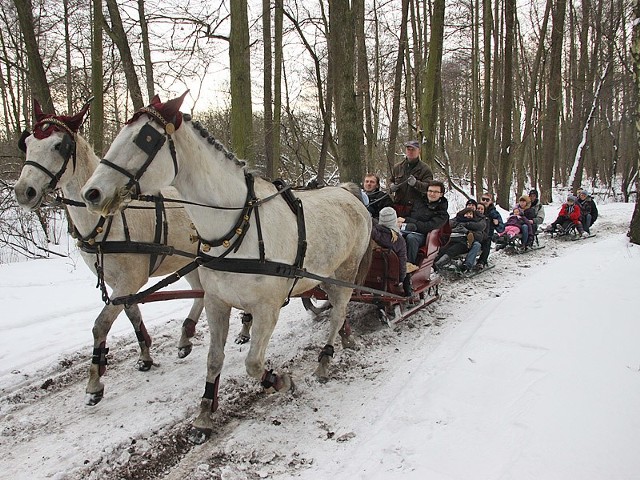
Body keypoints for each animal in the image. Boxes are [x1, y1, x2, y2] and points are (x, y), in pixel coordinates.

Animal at [13, 100, 205, 404]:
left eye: (59, 145)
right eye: (28, 143)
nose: (24, 192)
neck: (107, 221)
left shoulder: (131, 279)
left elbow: (100, 324)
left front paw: (94, 381)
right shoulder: (121, 283)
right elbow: (132, 313)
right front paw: (145, 356)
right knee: (201, 293)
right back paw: (186, 335)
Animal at [79, 92, 372, 440]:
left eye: (146, 138)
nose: (91, 193)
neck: (239, 227)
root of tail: (349, 192)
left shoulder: (267, 309)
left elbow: (254, 364)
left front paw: (280, 380)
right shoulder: (217, 302)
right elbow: (214, 359)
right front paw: (205, 413)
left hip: (347, 271)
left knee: (339, 311)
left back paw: (325, 360)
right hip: (325, 276)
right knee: (338, 310)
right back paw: (345, 337)